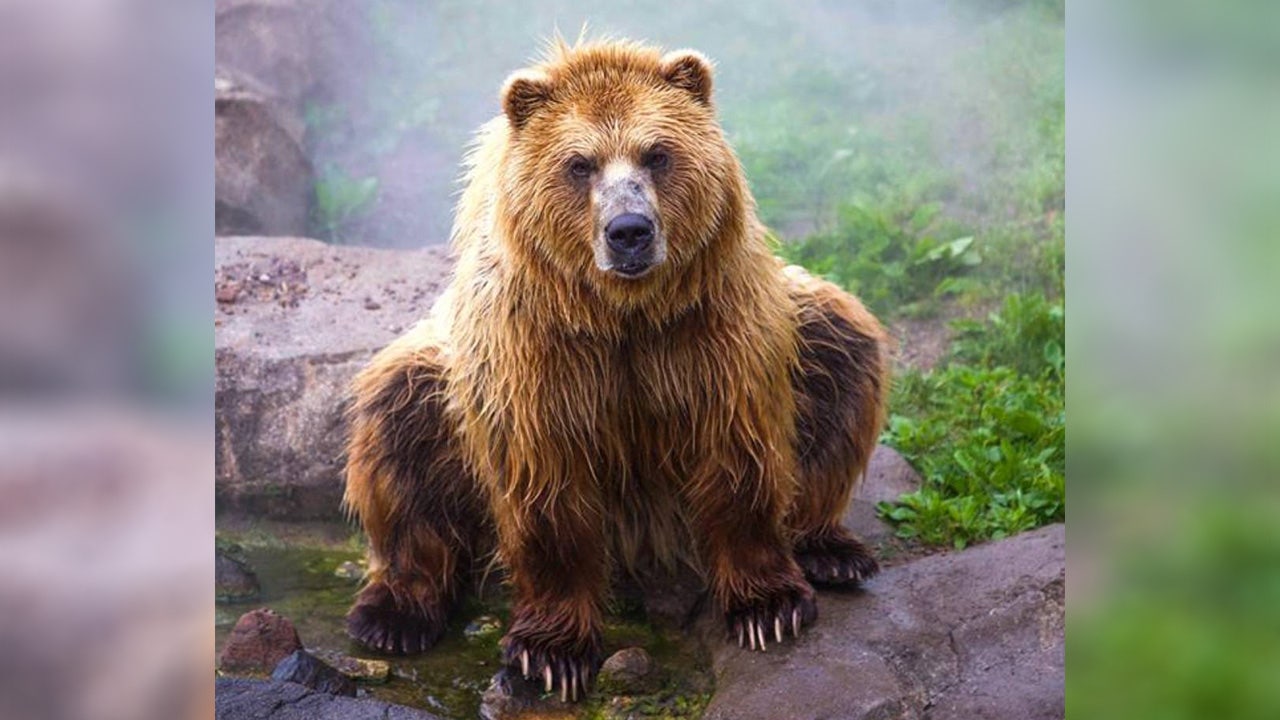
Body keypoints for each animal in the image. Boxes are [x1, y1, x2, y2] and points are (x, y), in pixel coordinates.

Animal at [341, 39, 889, 702]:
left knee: (843, 349)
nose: (630, 231)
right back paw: (393, 615)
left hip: (800, 325)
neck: (622, 312)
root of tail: (645, 547)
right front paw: (552, 652)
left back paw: (830, 548)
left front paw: (769, 607)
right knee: (398, 423)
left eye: (657, 154)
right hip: (440, 375)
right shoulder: (536, 353)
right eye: (580, 164)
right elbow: (546, 489)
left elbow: (740, 454)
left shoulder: (711, 330)